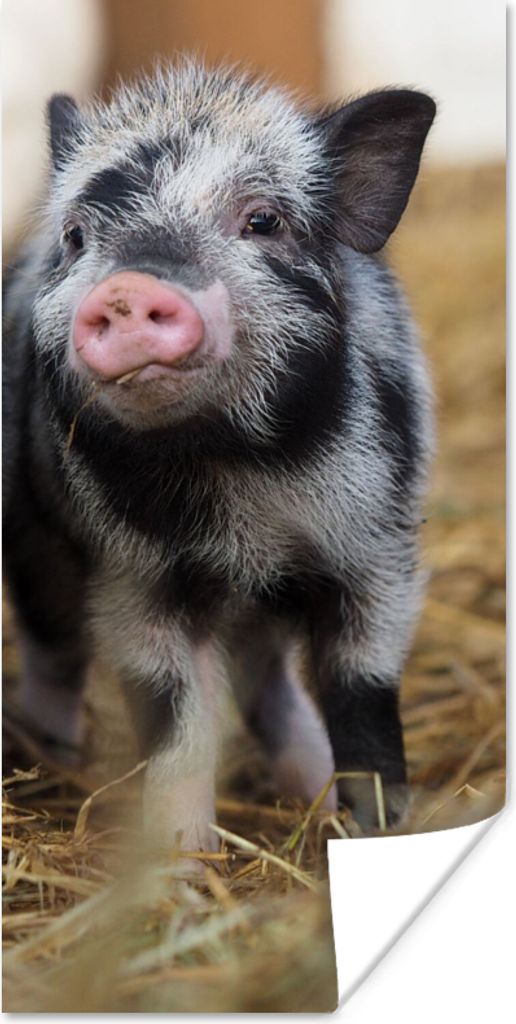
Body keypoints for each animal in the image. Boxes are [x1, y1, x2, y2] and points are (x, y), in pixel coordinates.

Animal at [3, 60, 435, 850]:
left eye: (262, 221)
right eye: (77, 235)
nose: (129, 287)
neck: (238, 474)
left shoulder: (377, 552)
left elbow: (363, 694)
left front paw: (376, 829)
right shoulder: (135, 578)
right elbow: (177, 719)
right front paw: (181, 858)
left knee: (271, 687)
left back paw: (311, 795)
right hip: (33, 540)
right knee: (53, 655)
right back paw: (54, 759)